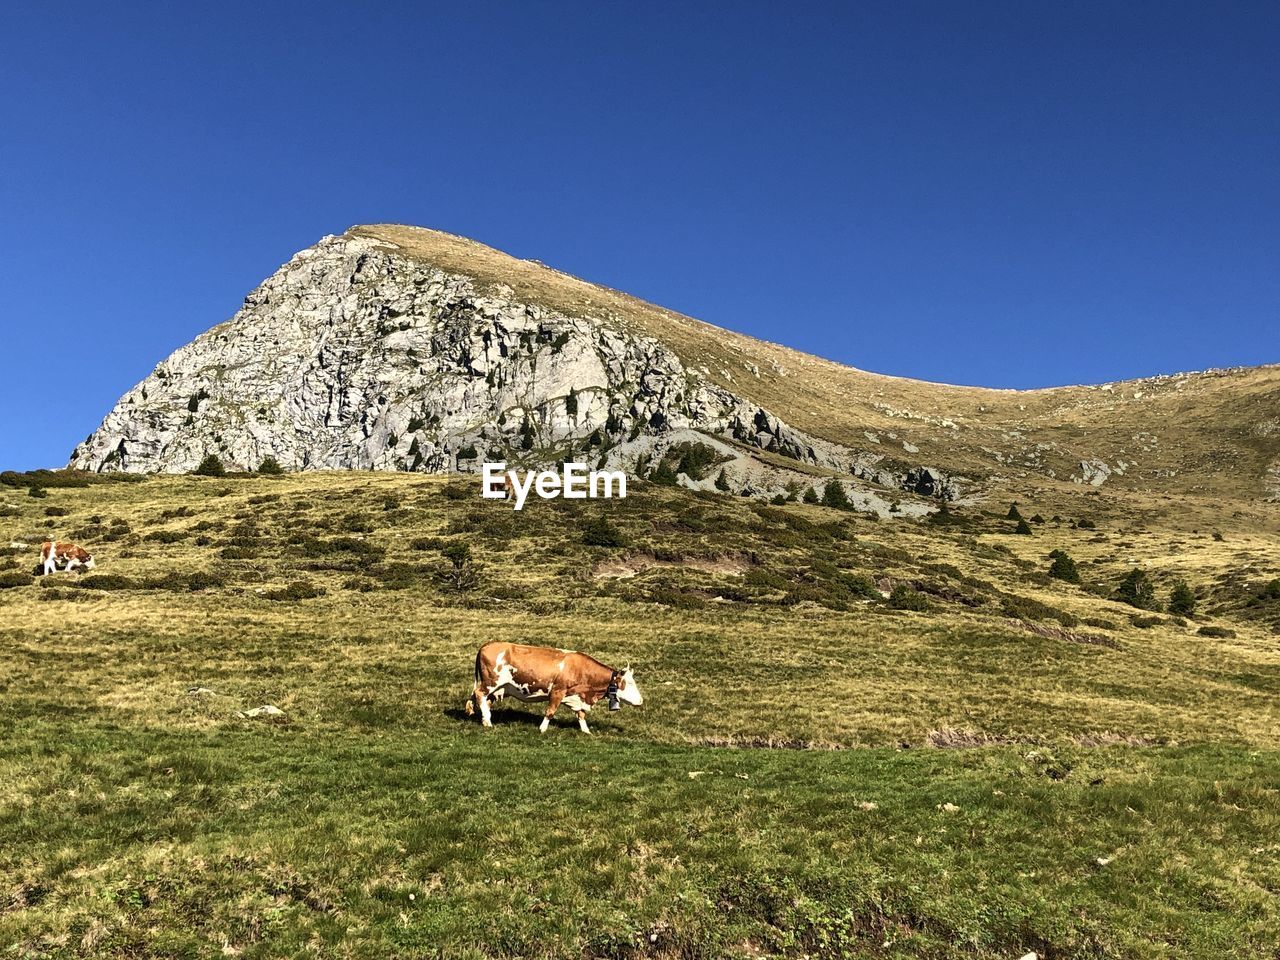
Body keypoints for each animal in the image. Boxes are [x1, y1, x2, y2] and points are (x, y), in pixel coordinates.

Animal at [468, 647, 645, 737]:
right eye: (629, 683)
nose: (641, 701)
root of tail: (487, 645)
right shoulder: (558, 691)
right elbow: (550, 711)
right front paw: (542, 729)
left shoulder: (577, 696)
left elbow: (581, 714)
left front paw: (586, 731)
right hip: (490, 683)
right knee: (479, 694)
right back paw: (489, 722)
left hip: (500, 688)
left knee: (486, 701)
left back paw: (485, 720)